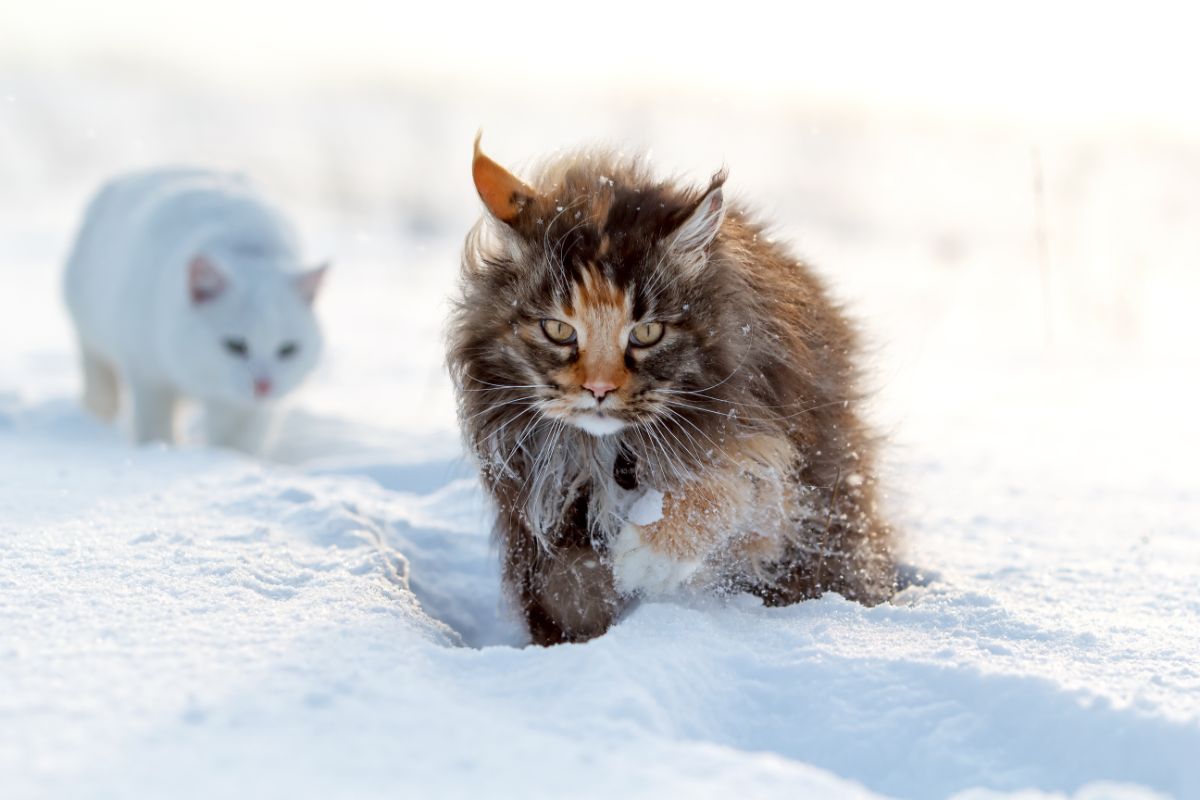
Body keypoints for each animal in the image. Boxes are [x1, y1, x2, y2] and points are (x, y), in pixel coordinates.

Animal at [62, 165, 326, 453]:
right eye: (236, 345)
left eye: (288, 350)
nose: (264, 385)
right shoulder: (147, 375)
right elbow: (155, 425)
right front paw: (159, 449)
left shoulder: (249, 410)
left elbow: (238, 443)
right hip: (89, 336)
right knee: (99, 380)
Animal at [446, 137, 897, 647]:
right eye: (558, 329)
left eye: (647, 333)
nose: (598, 388)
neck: (611, 452)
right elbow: (571, 591)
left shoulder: (778, 473)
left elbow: (732, 482)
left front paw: (645, 557)